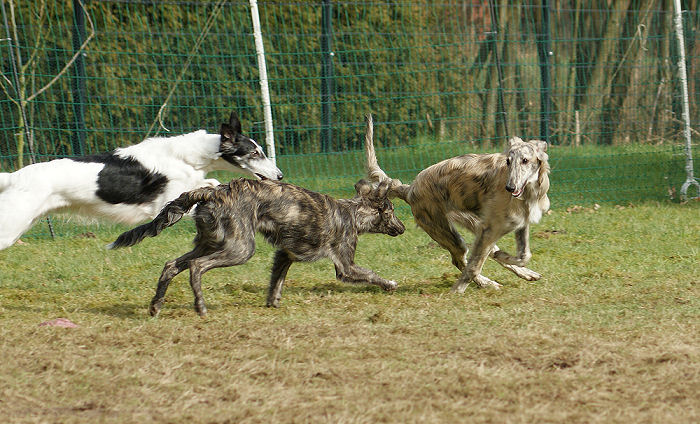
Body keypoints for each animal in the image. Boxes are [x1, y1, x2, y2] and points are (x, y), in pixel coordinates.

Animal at [1, 111, 284, 250]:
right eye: (255, 153)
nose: (280, 176)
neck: (189, 157)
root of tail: (13, 177)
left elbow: (211, 183)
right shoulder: (163, 205)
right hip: (11, 226)